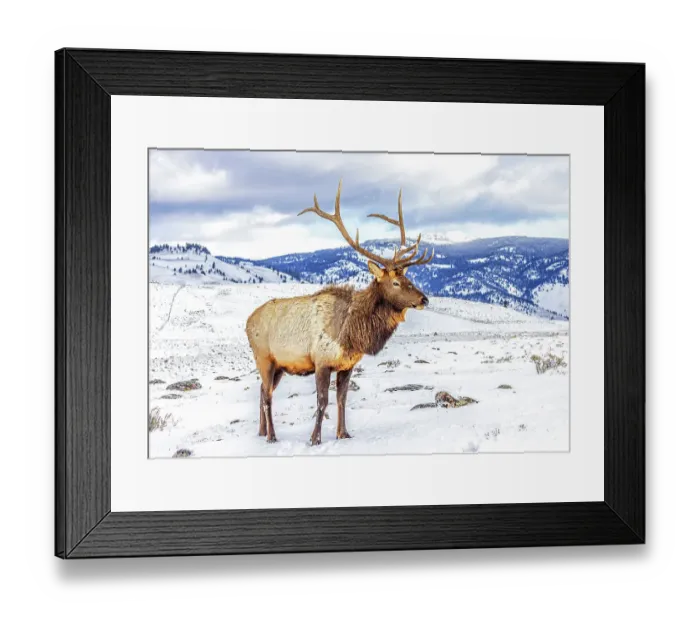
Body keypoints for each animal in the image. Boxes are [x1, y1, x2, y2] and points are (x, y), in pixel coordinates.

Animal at [245, 180, 435, 446]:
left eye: (409, 278)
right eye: (396, 283)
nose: (423, 299)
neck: (352, 333)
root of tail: (247, 321)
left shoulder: (347, 365)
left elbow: (341, 399)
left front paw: (343, 433)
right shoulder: (321, 361)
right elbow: (322, 402)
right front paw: (314, 439)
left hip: (279, 365)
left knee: (262, 391)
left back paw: (261, 431)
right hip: (264, 358)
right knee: (268, 395)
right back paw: (272, 435)